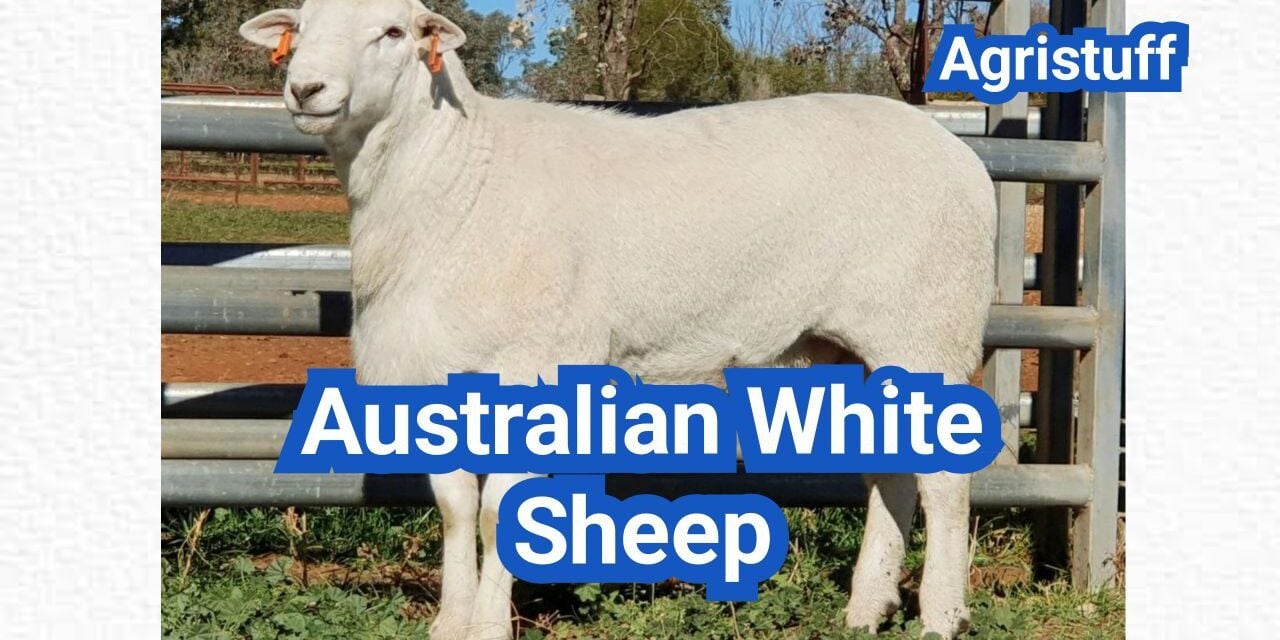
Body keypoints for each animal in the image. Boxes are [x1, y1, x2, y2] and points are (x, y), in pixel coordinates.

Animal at [240, 1, 997, 639]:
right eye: (300, 26)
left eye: (394, 32)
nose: (305, 89)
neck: (457, 177)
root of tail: (960, 155)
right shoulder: (434, 374)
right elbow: (455, 511)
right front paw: (451, 625)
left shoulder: (532, 369)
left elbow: (495, 511)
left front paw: (487, 627)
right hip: (853, 350)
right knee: (892, 471)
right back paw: (869, 609)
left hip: (926, 330)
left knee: (945, 481)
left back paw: (942, 615)